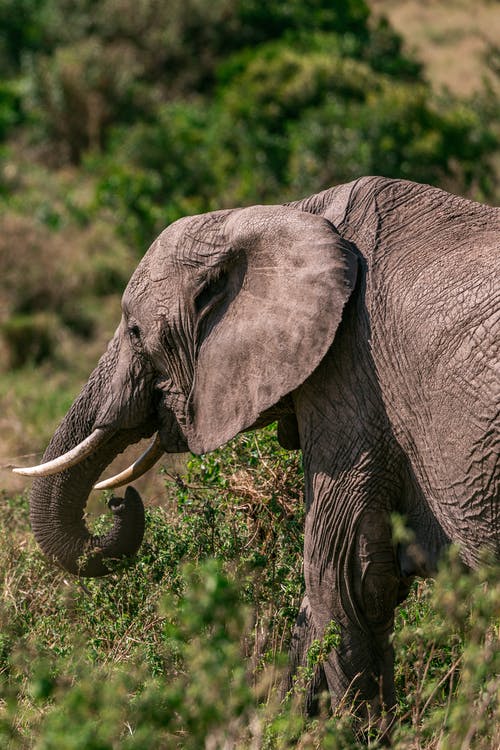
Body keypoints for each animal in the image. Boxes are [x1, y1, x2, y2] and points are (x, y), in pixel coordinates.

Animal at [15, 176, 500, 728]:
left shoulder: (354, 376)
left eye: (135, 332)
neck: (292, 213)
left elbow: (345, 578)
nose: (119, 502)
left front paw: (357, 733)